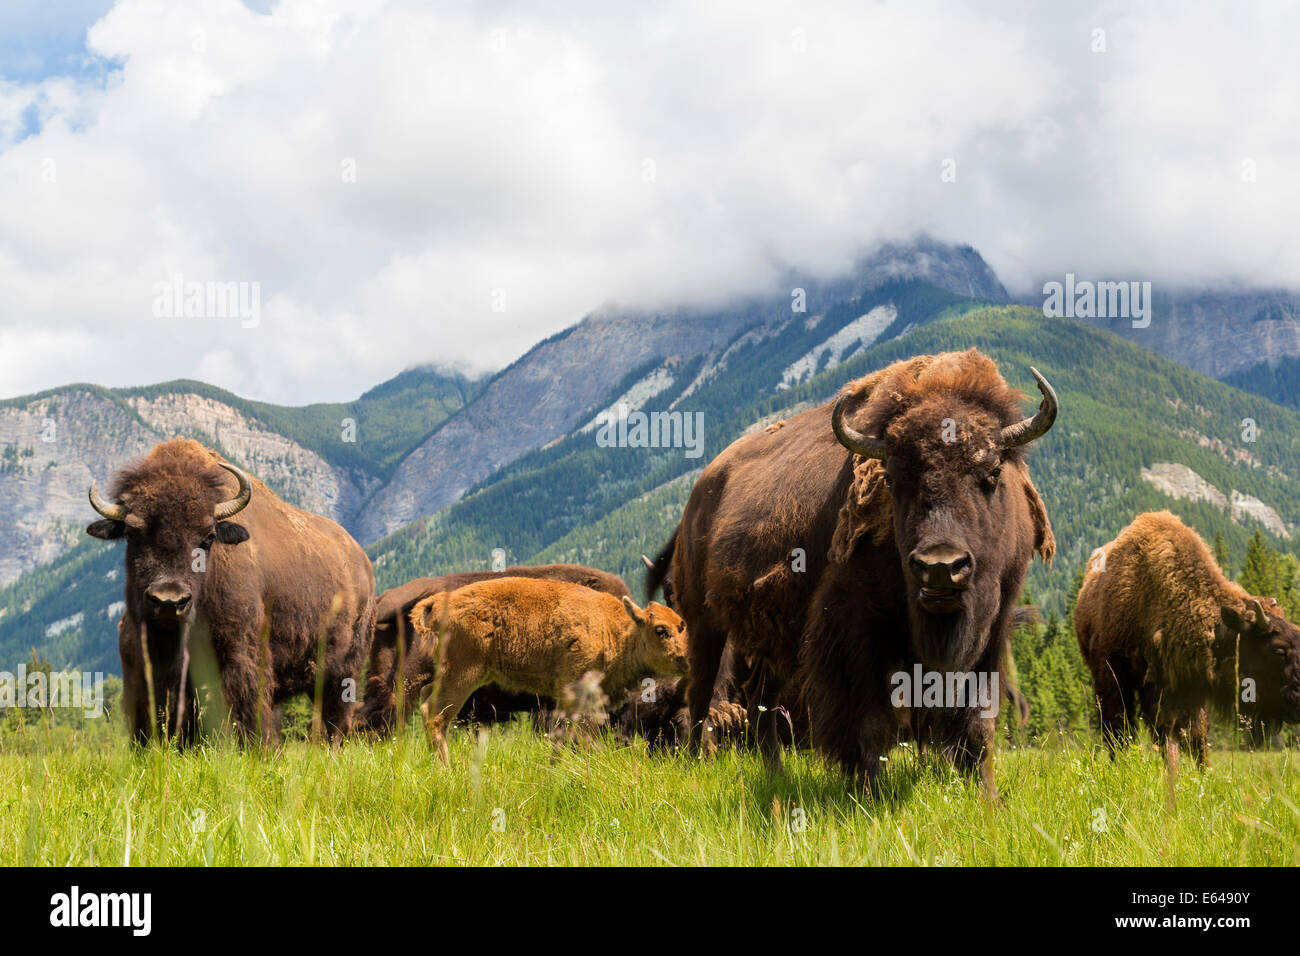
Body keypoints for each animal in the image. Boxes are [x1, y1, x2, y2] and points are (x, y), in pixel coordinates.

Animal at [87, 442, 377, 749]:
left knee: (335, 714)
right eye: (132, 533)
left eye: (208, 536)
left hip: (344, 668)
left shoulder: (241, 655)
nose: (169, 600)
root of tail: (362, 562)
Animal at [650, 351, 1055, 801]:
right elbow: (870, 723)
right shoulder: (854, 629)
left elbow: (978, 721)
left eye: (993, 473)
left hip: (775, 641)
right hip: (706, 623)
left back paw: (775, 774)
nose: (940, 567)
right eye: (892, 478)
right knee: (702, 692)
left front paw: (987, 798)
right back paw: (695, 763)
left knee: (761, 704)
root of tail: (701, 491)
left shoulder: (991, 633)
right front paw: (869, 793)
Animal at [1076, 509, 1300, 770]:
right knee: (1119, 728)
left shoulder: (1189, 687)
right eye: (1278, 650)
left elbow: (1195, 734)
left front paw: (1203, 772)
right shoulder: (1123, 678)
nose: (1298, 700)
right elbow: (1135, 729)